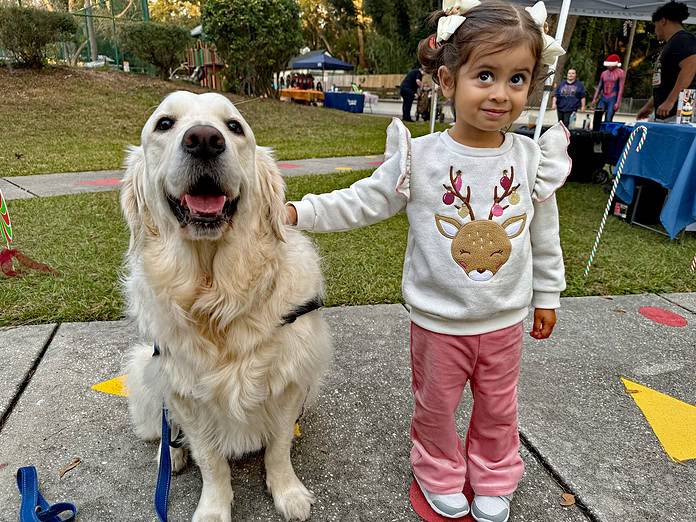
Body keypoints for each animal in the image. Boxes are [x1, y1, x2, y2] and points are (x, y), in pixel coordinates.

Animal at [120, 91, 332, 516]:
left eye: (234, 127)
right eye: (164, 124)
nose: (204, 140)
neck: (216, 292)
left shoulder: (288, 383)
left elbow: (279, 447)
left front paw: (288, 492)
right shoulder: (184, 392)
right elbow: (210, 460)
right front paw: (213, 509)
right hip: (144, 369)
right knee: (166, 433)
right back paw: (171, 455)